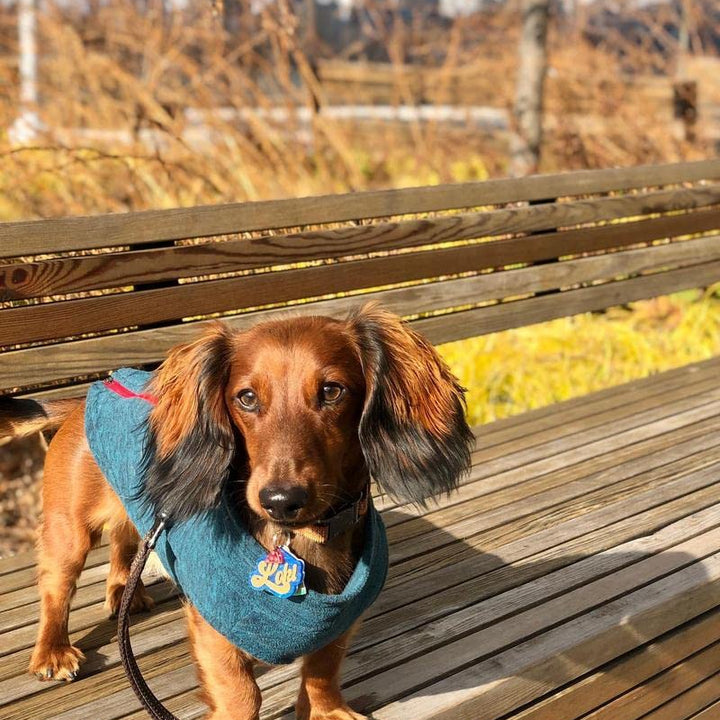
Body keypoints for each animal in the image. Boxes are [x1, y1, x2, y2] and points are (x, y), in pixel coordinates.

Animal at [2, 306, 472, 720]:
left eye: (332, 391)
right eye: (246, 398)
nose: (280, 500)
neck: (298, 537)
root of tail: (84, 399)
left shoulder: (341, 621)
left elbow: (323, 669)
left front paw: (326, 711)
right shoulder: (213, 628)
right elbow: (242, 693)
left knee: (124, 546)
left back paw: (125, 596)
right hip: (70, 532)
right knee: (56, 590)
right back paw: (52, 651)